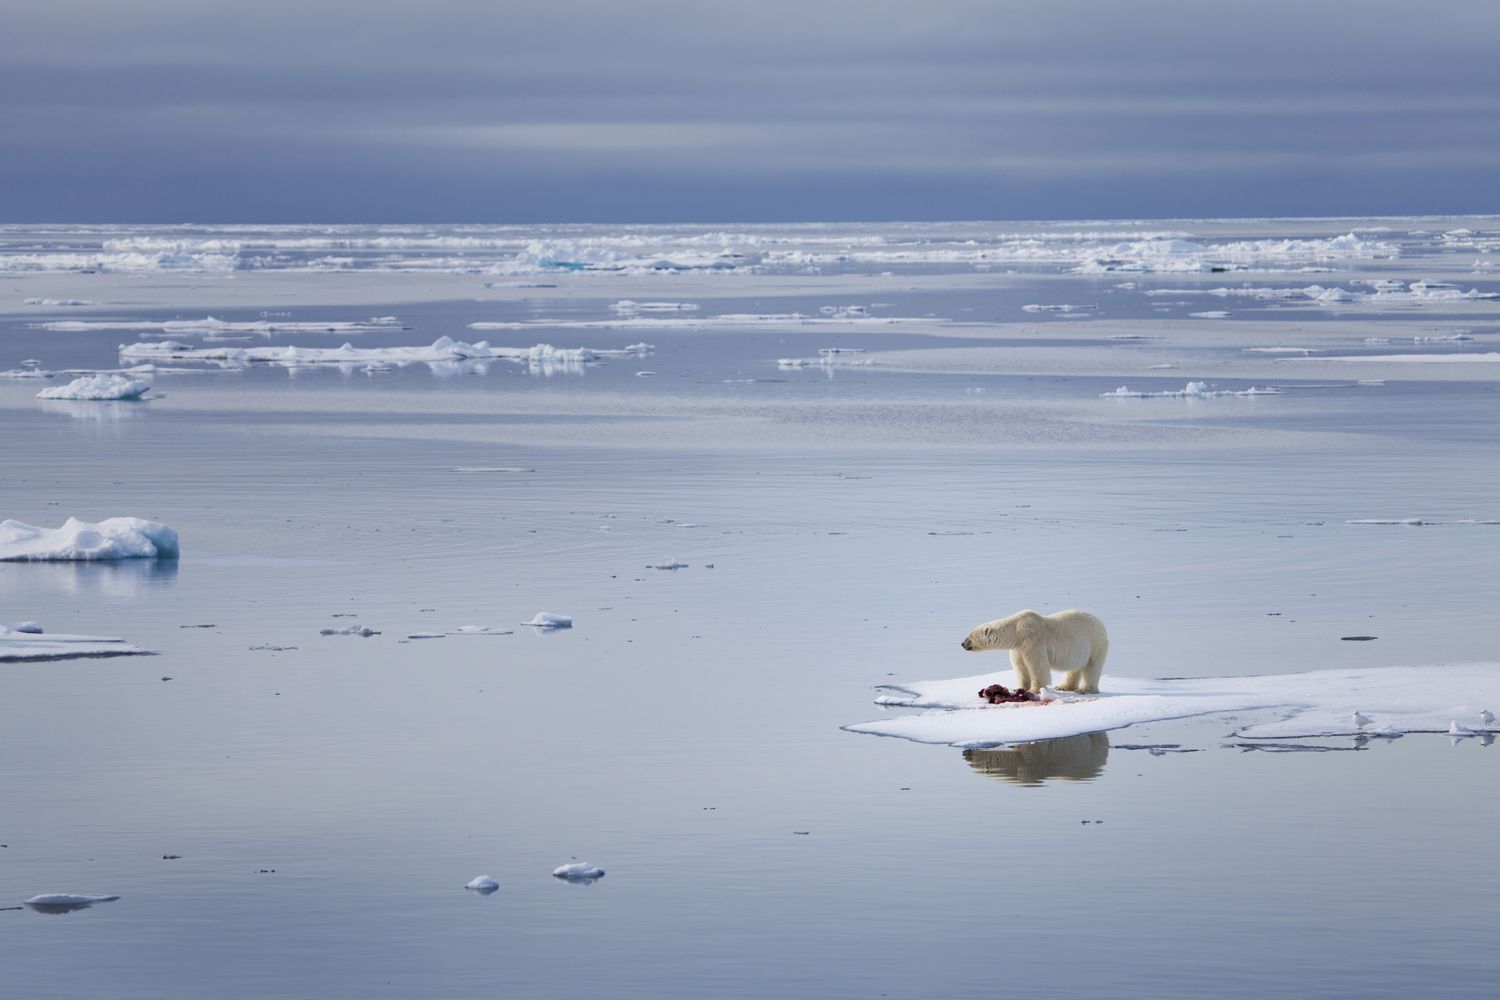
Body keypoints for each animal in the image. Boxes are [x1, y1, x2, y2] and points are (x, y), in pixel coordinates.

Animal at [954, 611, 1110, 695]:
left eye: (970, 636)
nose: (962, 643)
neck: (1016, 629)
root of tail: (1102, 623)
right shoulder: (1017, 647)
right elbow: (1020, 667)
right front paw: (1020, 687)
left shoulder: (1032, 639)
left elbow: (1037, 665)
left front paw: (1034, 689)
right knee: (1074, 668)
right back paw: (1064, 686)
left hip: (1095, 643)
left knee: (1092, 667)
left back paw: (1085, 689)